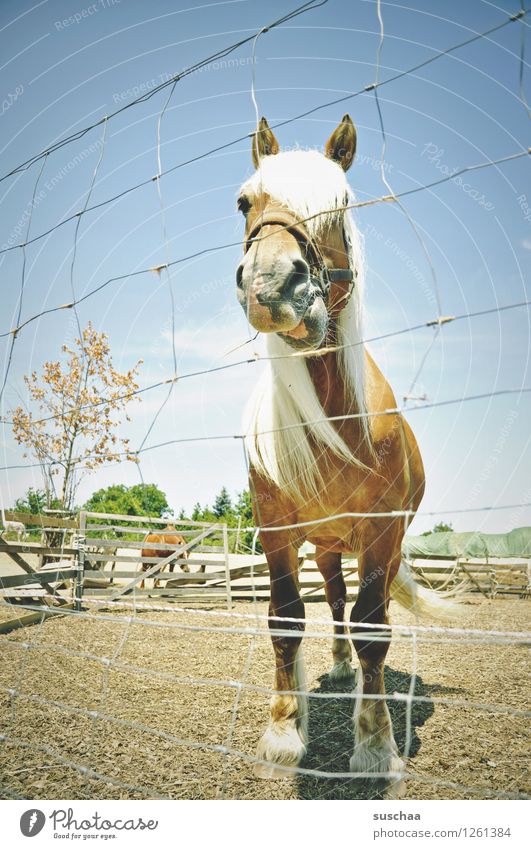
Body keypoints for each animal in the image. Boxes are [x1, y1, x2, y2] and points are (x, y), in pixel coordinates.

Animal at [239, 116, 456, 784]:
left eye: (341, 203)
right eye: (245, 202)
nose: (272, 285)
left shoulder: (382, 532)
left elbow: (374, 630)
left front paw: (375, 742)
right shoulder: (276, 528)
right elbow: (287, 618)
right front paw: (284, 731)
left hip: (372, 547)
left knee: (365, 609)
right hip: (329, 546)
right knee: (333, 599)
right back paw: (335, 666)